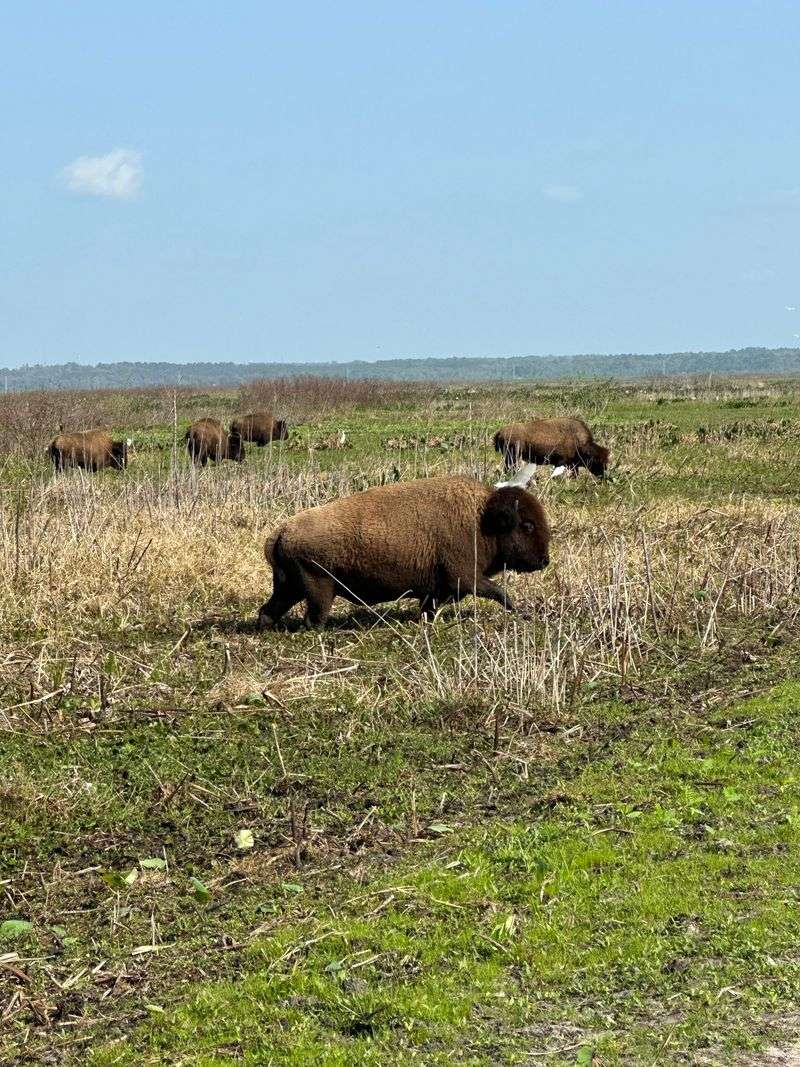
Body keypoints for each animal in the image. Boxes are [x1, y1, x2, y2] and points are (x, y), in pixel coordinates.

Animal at [257, 466, 549, 629]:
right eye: (527, 525)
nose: (545, 560)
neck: (482, 518)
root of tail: (280, 532)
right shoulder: (465, 578)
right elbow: (499, 592)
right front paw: (516, 610)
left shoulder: (438, 590)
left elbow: (429, 607)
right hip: (319, 589)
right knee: (312, 618)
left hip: (290, 587)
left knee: (268, 611)